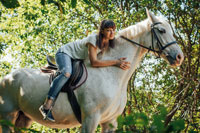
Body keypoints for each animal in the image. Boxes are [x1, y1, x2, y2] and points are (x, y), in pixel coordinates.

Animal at [0, 9, 183, 132]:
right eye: (161, 31)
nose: (179, 57)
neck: (111, 74)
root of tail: (6, 78)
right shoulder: (90, 119)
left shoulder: (110, 122)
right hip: (8, 117)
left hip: (23, 119)